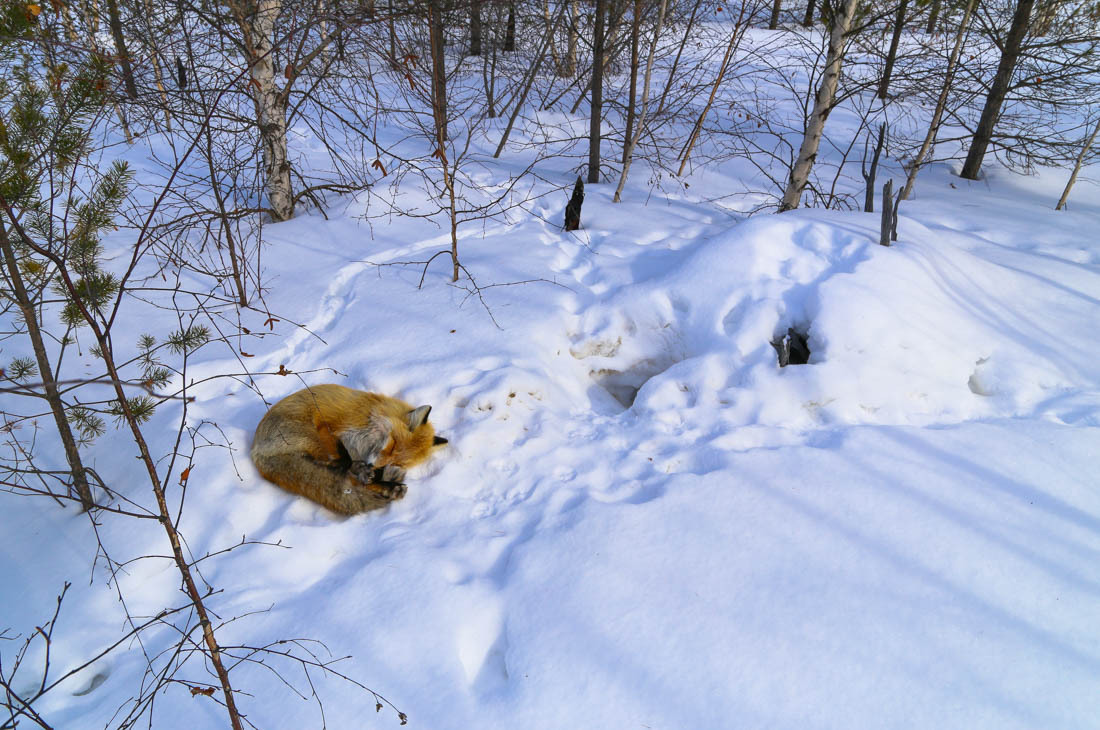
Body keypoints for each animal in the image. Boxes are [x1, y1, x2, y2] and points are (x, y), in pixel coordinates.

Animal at [251, 384, 446, 516]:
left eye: (397, 461)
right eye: (393, 445)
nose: (373, 465)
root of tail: (255, 451)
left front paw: (379, 477)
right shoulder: (330, 427)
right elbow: (343, 457)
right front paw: (366, 471)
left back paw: (388, 486)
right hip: (310, 437)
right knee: (337, 467)